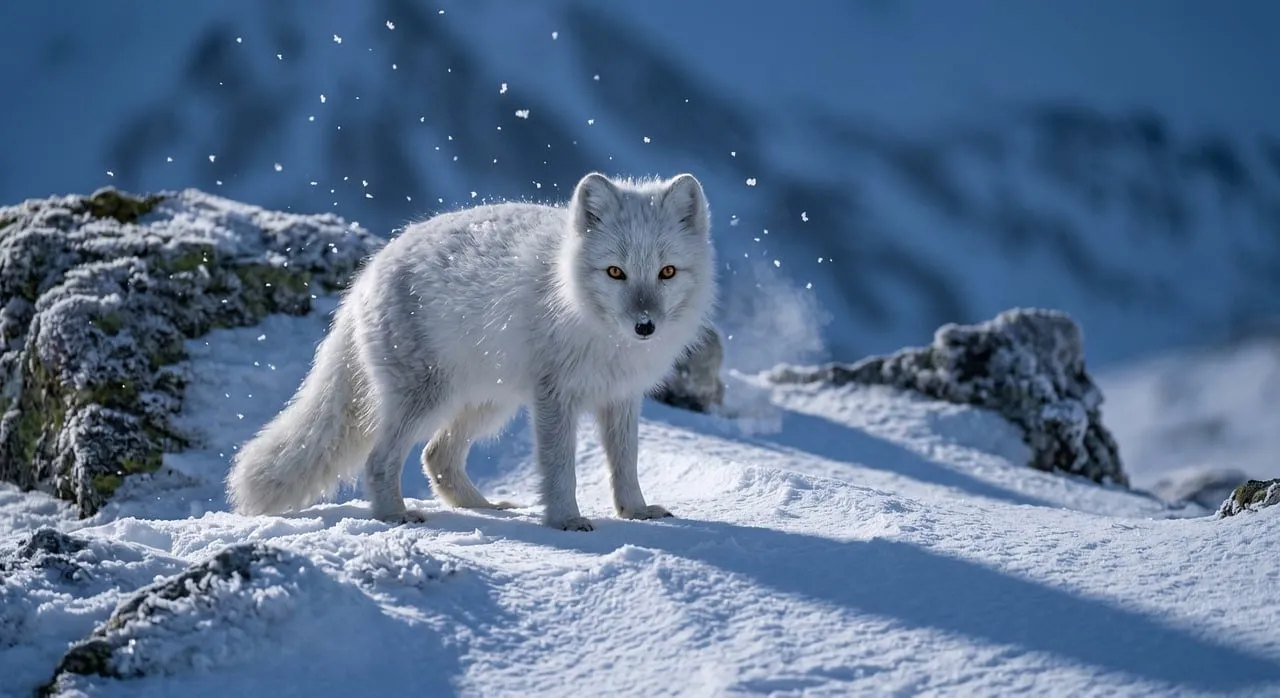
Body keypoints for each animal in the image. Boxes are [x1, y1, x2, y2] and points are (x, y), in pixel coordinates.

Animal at [225, 172, 717, 531]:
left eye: (667, 272)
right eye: (615, 272)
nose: (645, 327)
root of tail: (369, 271)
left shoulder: (620, 397)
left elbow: (626, 464)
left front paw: (635, 511)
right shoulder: (555, 397)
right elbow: (560, 468)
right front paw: (565, 521)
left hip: (489, 403)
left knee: (437, 456)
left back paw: (487, 508)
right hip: (426, 399)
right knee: (381, 461)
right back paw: (396, 515)